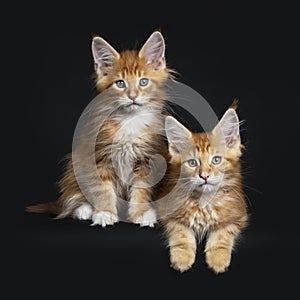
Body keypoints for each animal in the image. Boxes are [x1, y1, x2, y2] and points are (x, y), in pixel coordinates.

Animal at [27, 31, 172, 227]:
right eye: (120, 83)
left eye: (143, 82)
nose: (133, 96)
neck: (129, 121)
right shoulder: (99, 157)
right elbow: (103, 189)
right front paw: (105, 213)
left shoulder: (147, 160)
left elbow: (141, 190)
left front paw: (141, 213)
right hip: (76, 164)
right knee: (72, 197)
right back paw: (84, 209)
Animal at [157, 103, 248, 274]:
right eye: (193, 163)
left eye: (216, 160)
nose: (204, 175)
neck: (204, 202)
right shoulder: (166, 211)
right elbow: (181, 233)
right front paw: (182, 257)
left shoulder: (238, 213)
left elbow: (222, 234)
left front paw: (218, 258)